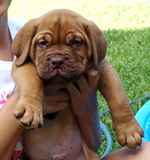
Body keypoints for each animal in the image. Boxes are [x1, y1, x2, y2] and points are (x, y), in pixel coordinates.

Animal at [11, 9, 142, 159]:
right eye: (42, 43)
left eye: (76, 42)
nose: (57, 61)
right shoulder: (22, 64)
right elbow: (32, 81)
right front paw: (31, 109)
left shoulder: (103, 67)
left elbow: (119, 99)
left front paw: (129, 130)